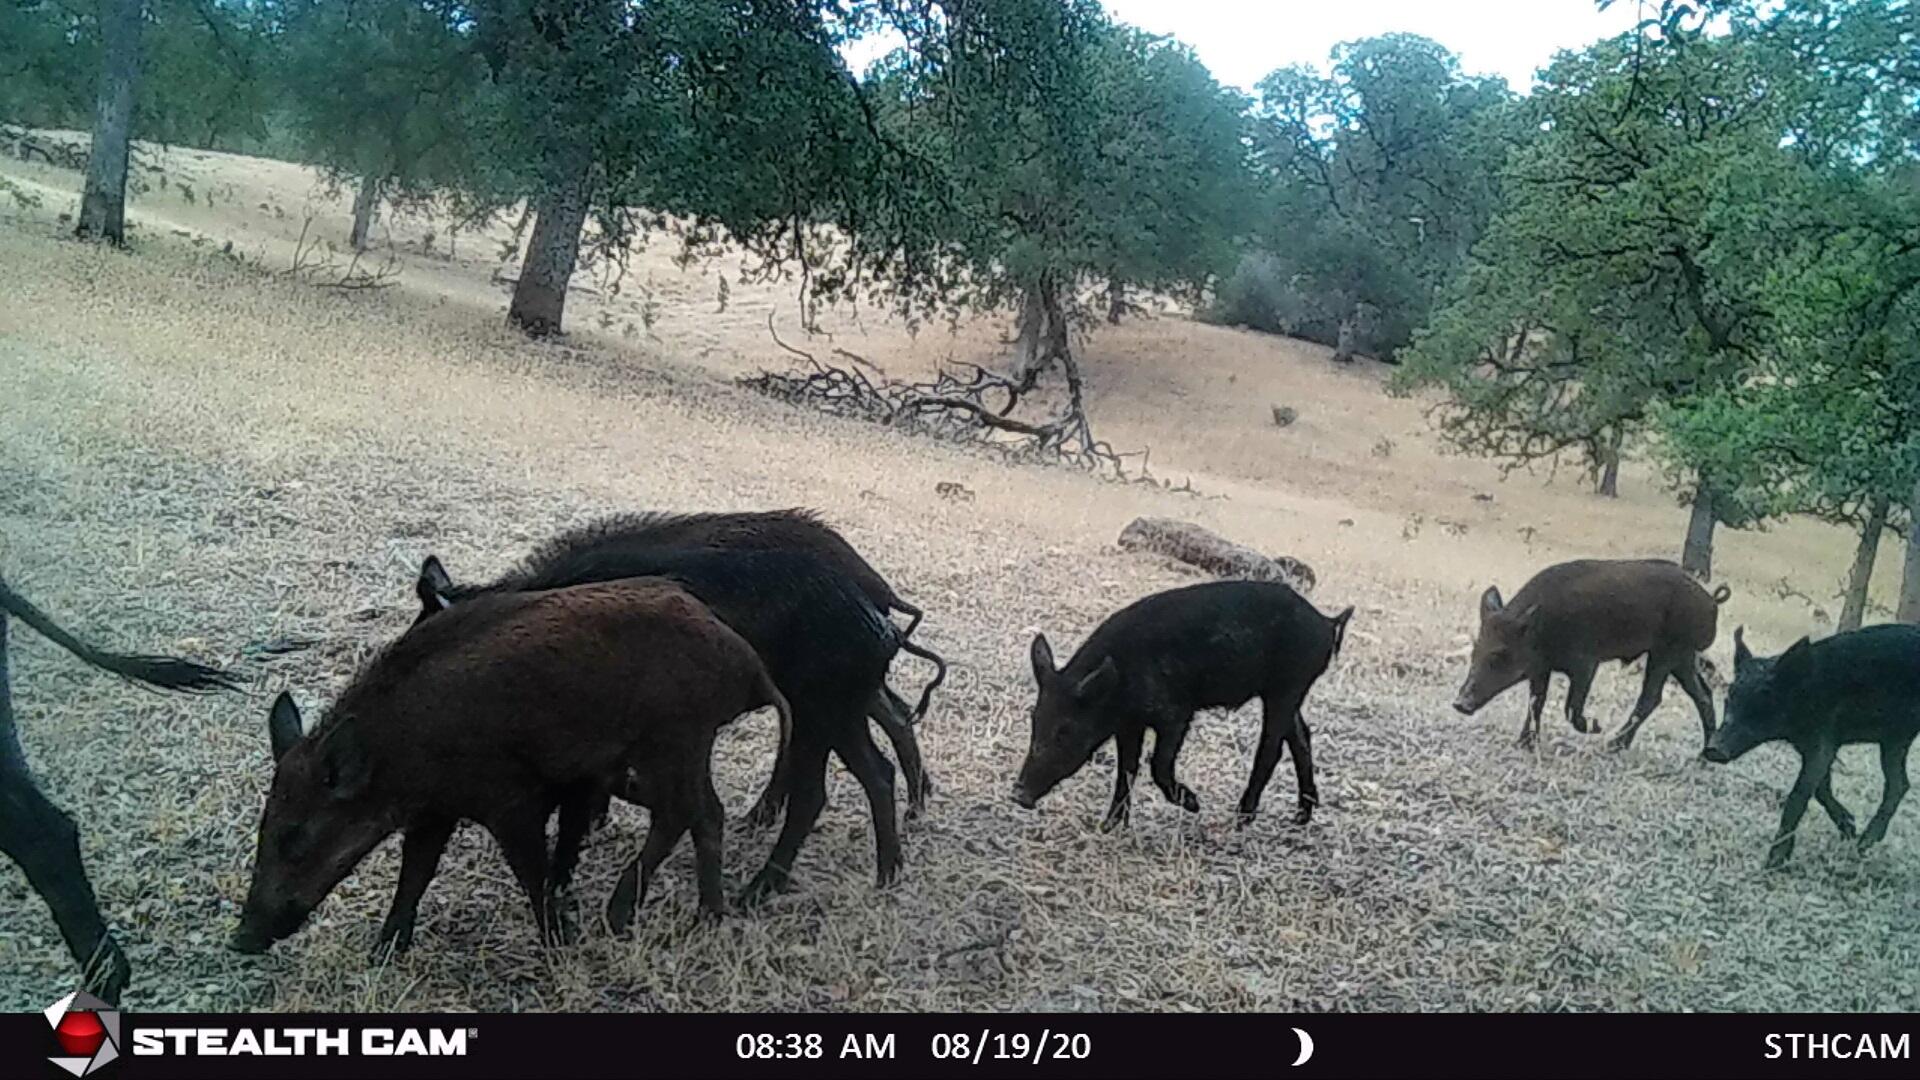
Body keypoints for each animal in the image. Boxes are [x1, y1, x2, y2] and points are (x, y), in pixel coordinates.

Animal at [231, 578, 788, 954]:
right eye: (264, 825)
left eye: (296, 837)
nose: (240, 939)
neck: (402, 748)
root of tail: (752, 666)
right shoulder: (433, 812)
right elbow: (415, 874)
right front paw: (384, 952)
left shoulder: (510, 800)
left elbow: (529, 871)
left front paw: (559, 944)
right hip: (656, 757)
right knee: (695, 813)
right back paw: (684, 916)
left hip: (677, 742)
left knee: (693, 813)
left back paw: (649, 917)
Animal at [1013, 580, 1353, 830]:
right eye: (1034, 720)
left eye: (1065, 731)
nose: (1018, 794)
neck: (1121, 680)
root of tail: (1326, 623)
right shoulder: (1129, 724)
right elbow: (1127, 769)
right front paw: (1109, 826)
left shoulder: (1176, 714)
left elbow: (1158, 764)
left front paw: (1194, 804)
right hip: (1285, 693)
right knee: (1301, 736)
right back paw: (1300, 817)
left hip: (1287, 688)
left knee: (1272, 748)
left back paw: (1241, 819)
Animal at [1453, 559, 1730, 752]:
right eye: (1475, 649)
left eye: (1500, 654)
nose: (1459, 704)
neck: (1544, 628)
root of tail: (1712, 601)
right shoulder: (1541, 669)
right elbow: (1535, 702)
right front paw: (1523, 744)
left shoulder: (1586, 663)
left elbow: (1570, 707)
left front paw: (1596, 726)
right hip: (1683, 656)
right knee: (1702, 694)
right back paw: (1703, 755)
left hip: (1669, 651)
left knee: (1652, 697)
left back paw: (1611, 745)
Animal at [1705, 625, 1919, 868]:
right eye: (1730, 696)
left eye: (1764, 698)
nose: (1713, 748)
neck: (1806, 695)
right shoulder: (1815, 745)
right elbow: (1821, 788)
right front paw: (1849, 828)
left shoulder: (1823, 741)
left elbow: (1799, 794)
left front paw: (1774, 862)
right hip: (1895, 737)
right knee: (1900, 783)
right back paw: (1862, 845)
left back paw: (1864, 844)